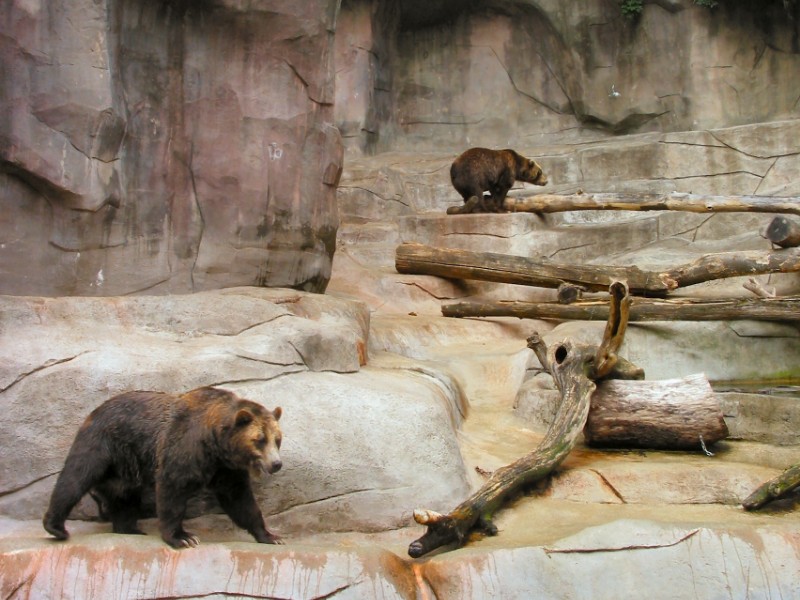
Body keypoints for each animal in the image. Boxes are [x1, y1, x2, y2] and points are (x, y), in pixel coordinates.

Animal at [43, 384, 284, 548]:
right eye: (260, 439)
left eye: (278, 439)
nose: (276, 463)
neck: (214, 442)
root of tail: (94, 411)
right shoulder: (184, 446)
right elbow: (172, 489)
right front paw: (183, 537)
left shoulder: (226, 469)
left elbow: (241, 500)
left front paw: (271, 536)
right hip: (103, 444)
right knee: (75, 478)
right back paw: (56, 527)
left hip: (127, 466)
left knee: (124, 498)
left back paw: (129, 528)